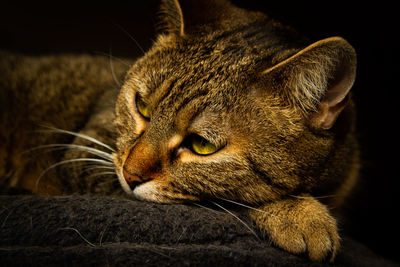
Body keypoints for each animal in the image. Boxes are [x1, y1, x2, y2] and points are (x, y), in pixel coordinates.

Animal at [0, 0, 358, 262]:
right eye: (142, 107)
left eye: (201, 144)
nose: (130, 174)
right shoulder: (85, 153)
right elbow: (222, 203)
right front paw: (301, 214)